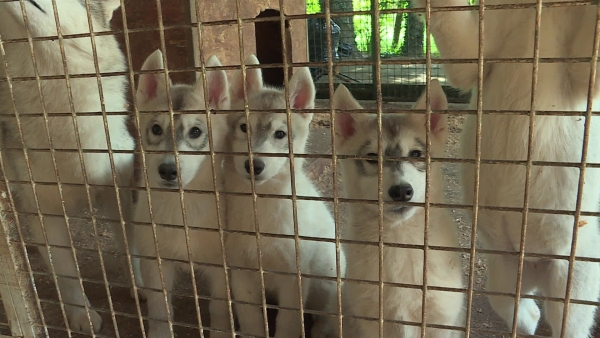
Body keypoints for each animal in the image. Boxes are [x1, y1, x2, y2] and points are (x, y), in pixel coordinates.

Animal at [132, 49, 231, 338]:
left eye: (195, 132)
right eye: (156, 129)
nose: (167, 170)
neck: (181, 206)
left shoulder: (221, 268)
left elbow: (218, 308)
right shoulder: (155, 262)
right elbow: (159, 308)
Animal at [224, 54, 346, 338]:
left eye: (280, 134)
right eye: (244, 127)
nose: (254, 165)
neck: (262, 204)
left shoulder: (294, 279)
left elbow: (288, 323)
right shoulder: (242, 274)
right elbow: (252, 321)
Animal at [332, 82, 464, 338]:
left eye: (416, 154)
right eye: (372, 158)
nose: (402, 191)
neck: (400, 239)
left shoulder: (440, 320)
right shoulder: (372, 322)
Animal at [412, 1, 600, 336]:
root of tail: (534, 267)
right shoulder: (486, 36)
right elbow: (464, 52)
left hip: (576, 272)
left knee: (569, 320)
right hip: (503, 269)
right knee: (515, 304)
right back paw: (529, 320)